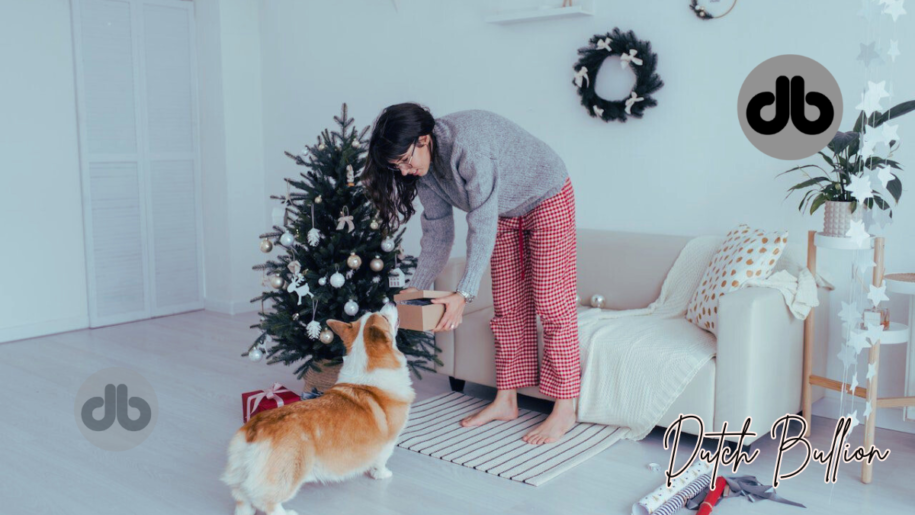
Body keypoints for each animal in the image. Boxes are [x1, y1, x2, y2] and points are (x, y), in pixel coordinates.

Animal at [224, 302, 416, 515]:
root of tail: (254, 430)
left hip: (242, 480)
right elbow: (381, 461)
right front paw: (382, 474)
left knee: (243, 500)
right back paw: (287, 512)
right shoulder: (388, 442)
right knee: (268, 503)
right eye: (384, 316)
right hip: (288, 475)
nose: (390, 302)